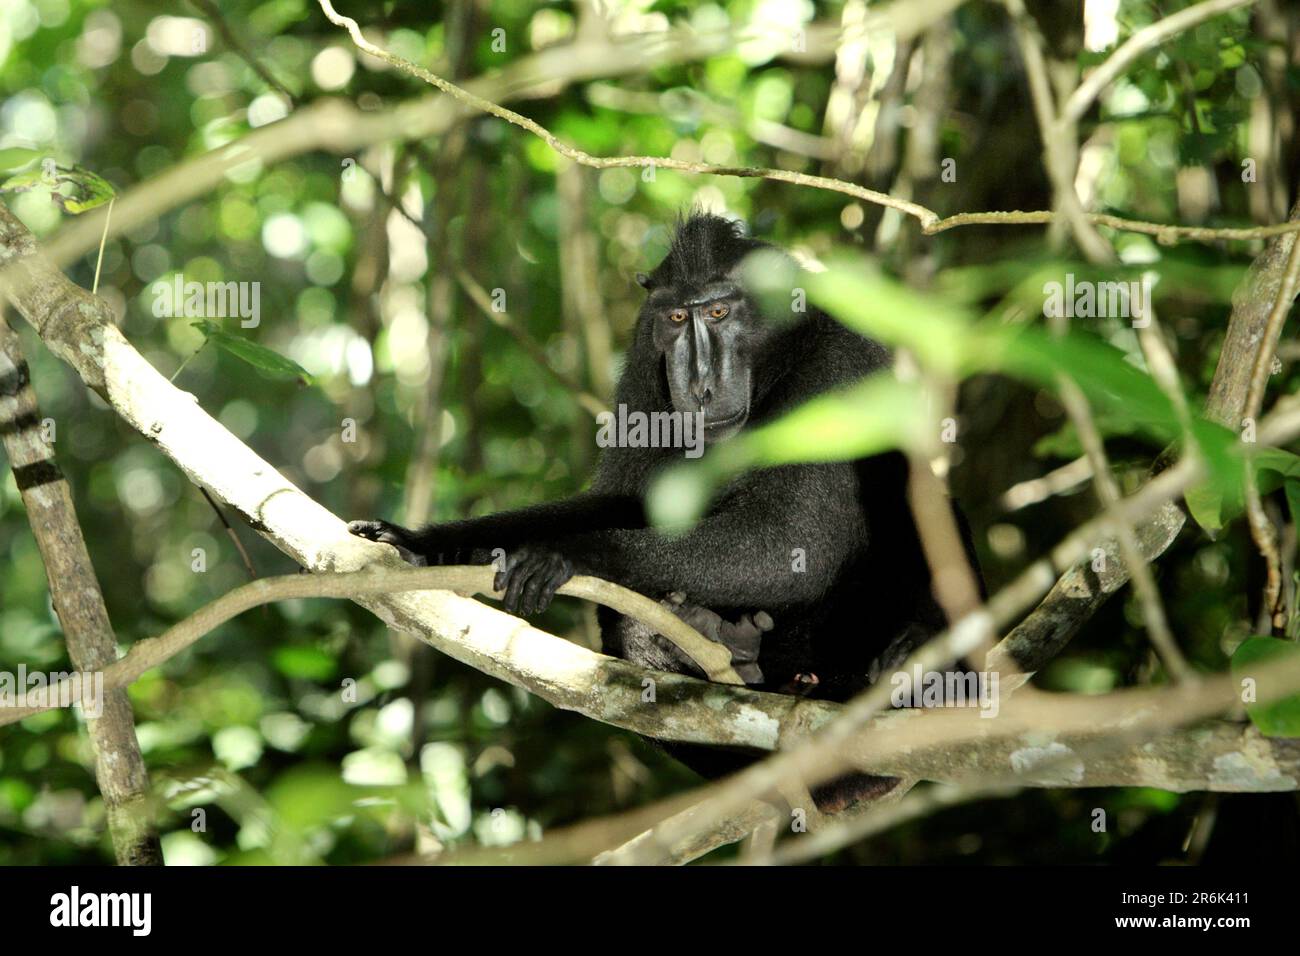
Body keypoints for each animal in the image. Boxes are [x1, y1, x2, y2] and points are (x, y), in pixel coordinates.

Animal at [350, 212, 982, 811]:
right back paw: (726, 647)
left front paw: (572, 552)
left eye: (721, 312)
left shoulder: (836, 366)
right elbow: (622, 501)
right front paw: (418, 543)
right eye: (677, 318)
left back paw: (912, 661)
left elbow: (797, 541)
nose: (698, 384)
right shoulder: (640, 360)